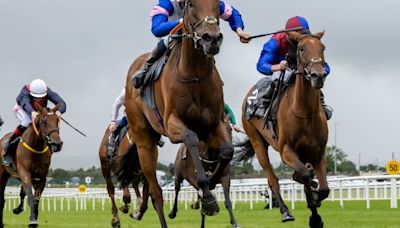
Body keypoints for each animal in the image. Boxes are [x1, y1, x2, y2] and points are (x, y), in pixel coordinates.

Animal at [124, 0, 231, 226]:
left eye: (218, 4)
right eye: (190, 4)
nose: (211, 38)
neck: (195, 76)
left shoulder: (214, 125)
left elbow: (227, 151)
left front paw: (211, 183)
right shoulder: (173, 124)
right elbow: (190, 138)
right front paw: (207, 197)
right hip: (144, 141)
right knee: (156, 192)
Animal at [241, 31, 328, 227]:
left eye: (323, 48)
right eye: (301, 48)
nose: (318, 76)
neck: (305, 112)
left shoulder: (318, 152)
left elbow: (323, 188)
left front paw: (316, 205)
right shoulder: (286, 150)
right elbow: (303, 173)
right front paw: (314, 215)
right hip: (257, 142)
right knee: (272, 179)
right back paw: (285, 212)